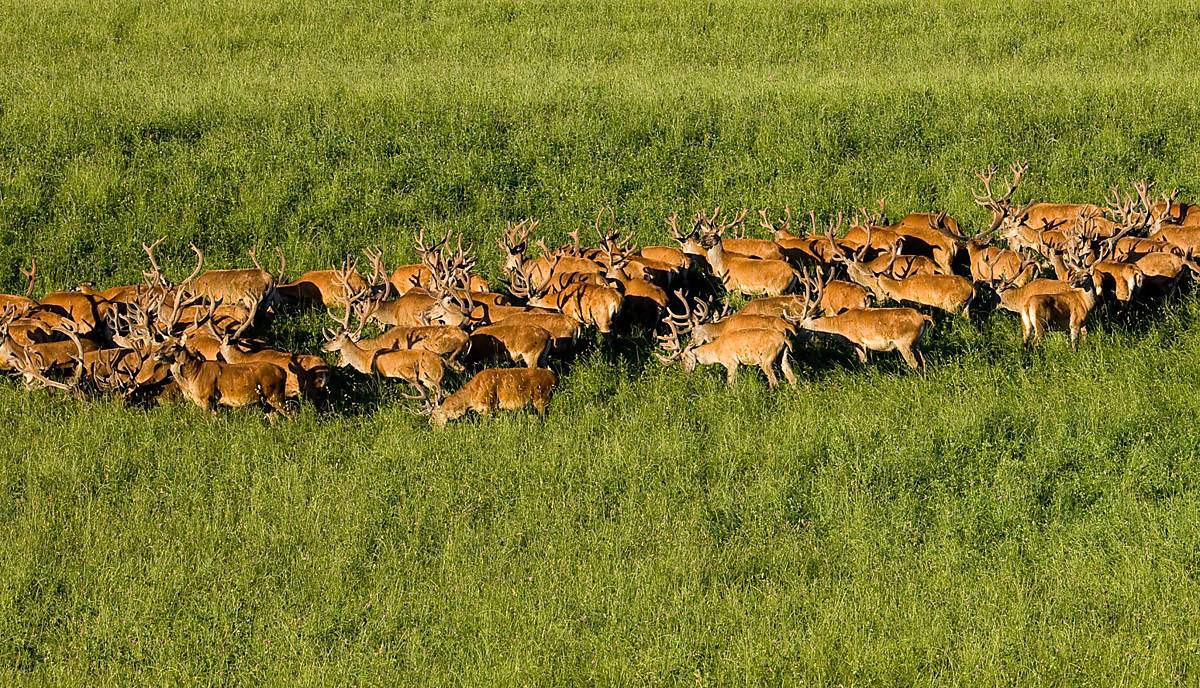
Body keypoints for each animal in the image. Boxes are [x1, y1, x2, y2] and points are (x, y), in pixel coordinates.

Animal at [424, 367, 554, 427]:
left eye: (434, 415)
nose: (431, 424)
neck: (471, 399)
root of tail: (555, 378)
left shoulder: (487, 406)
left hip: (541, 398)